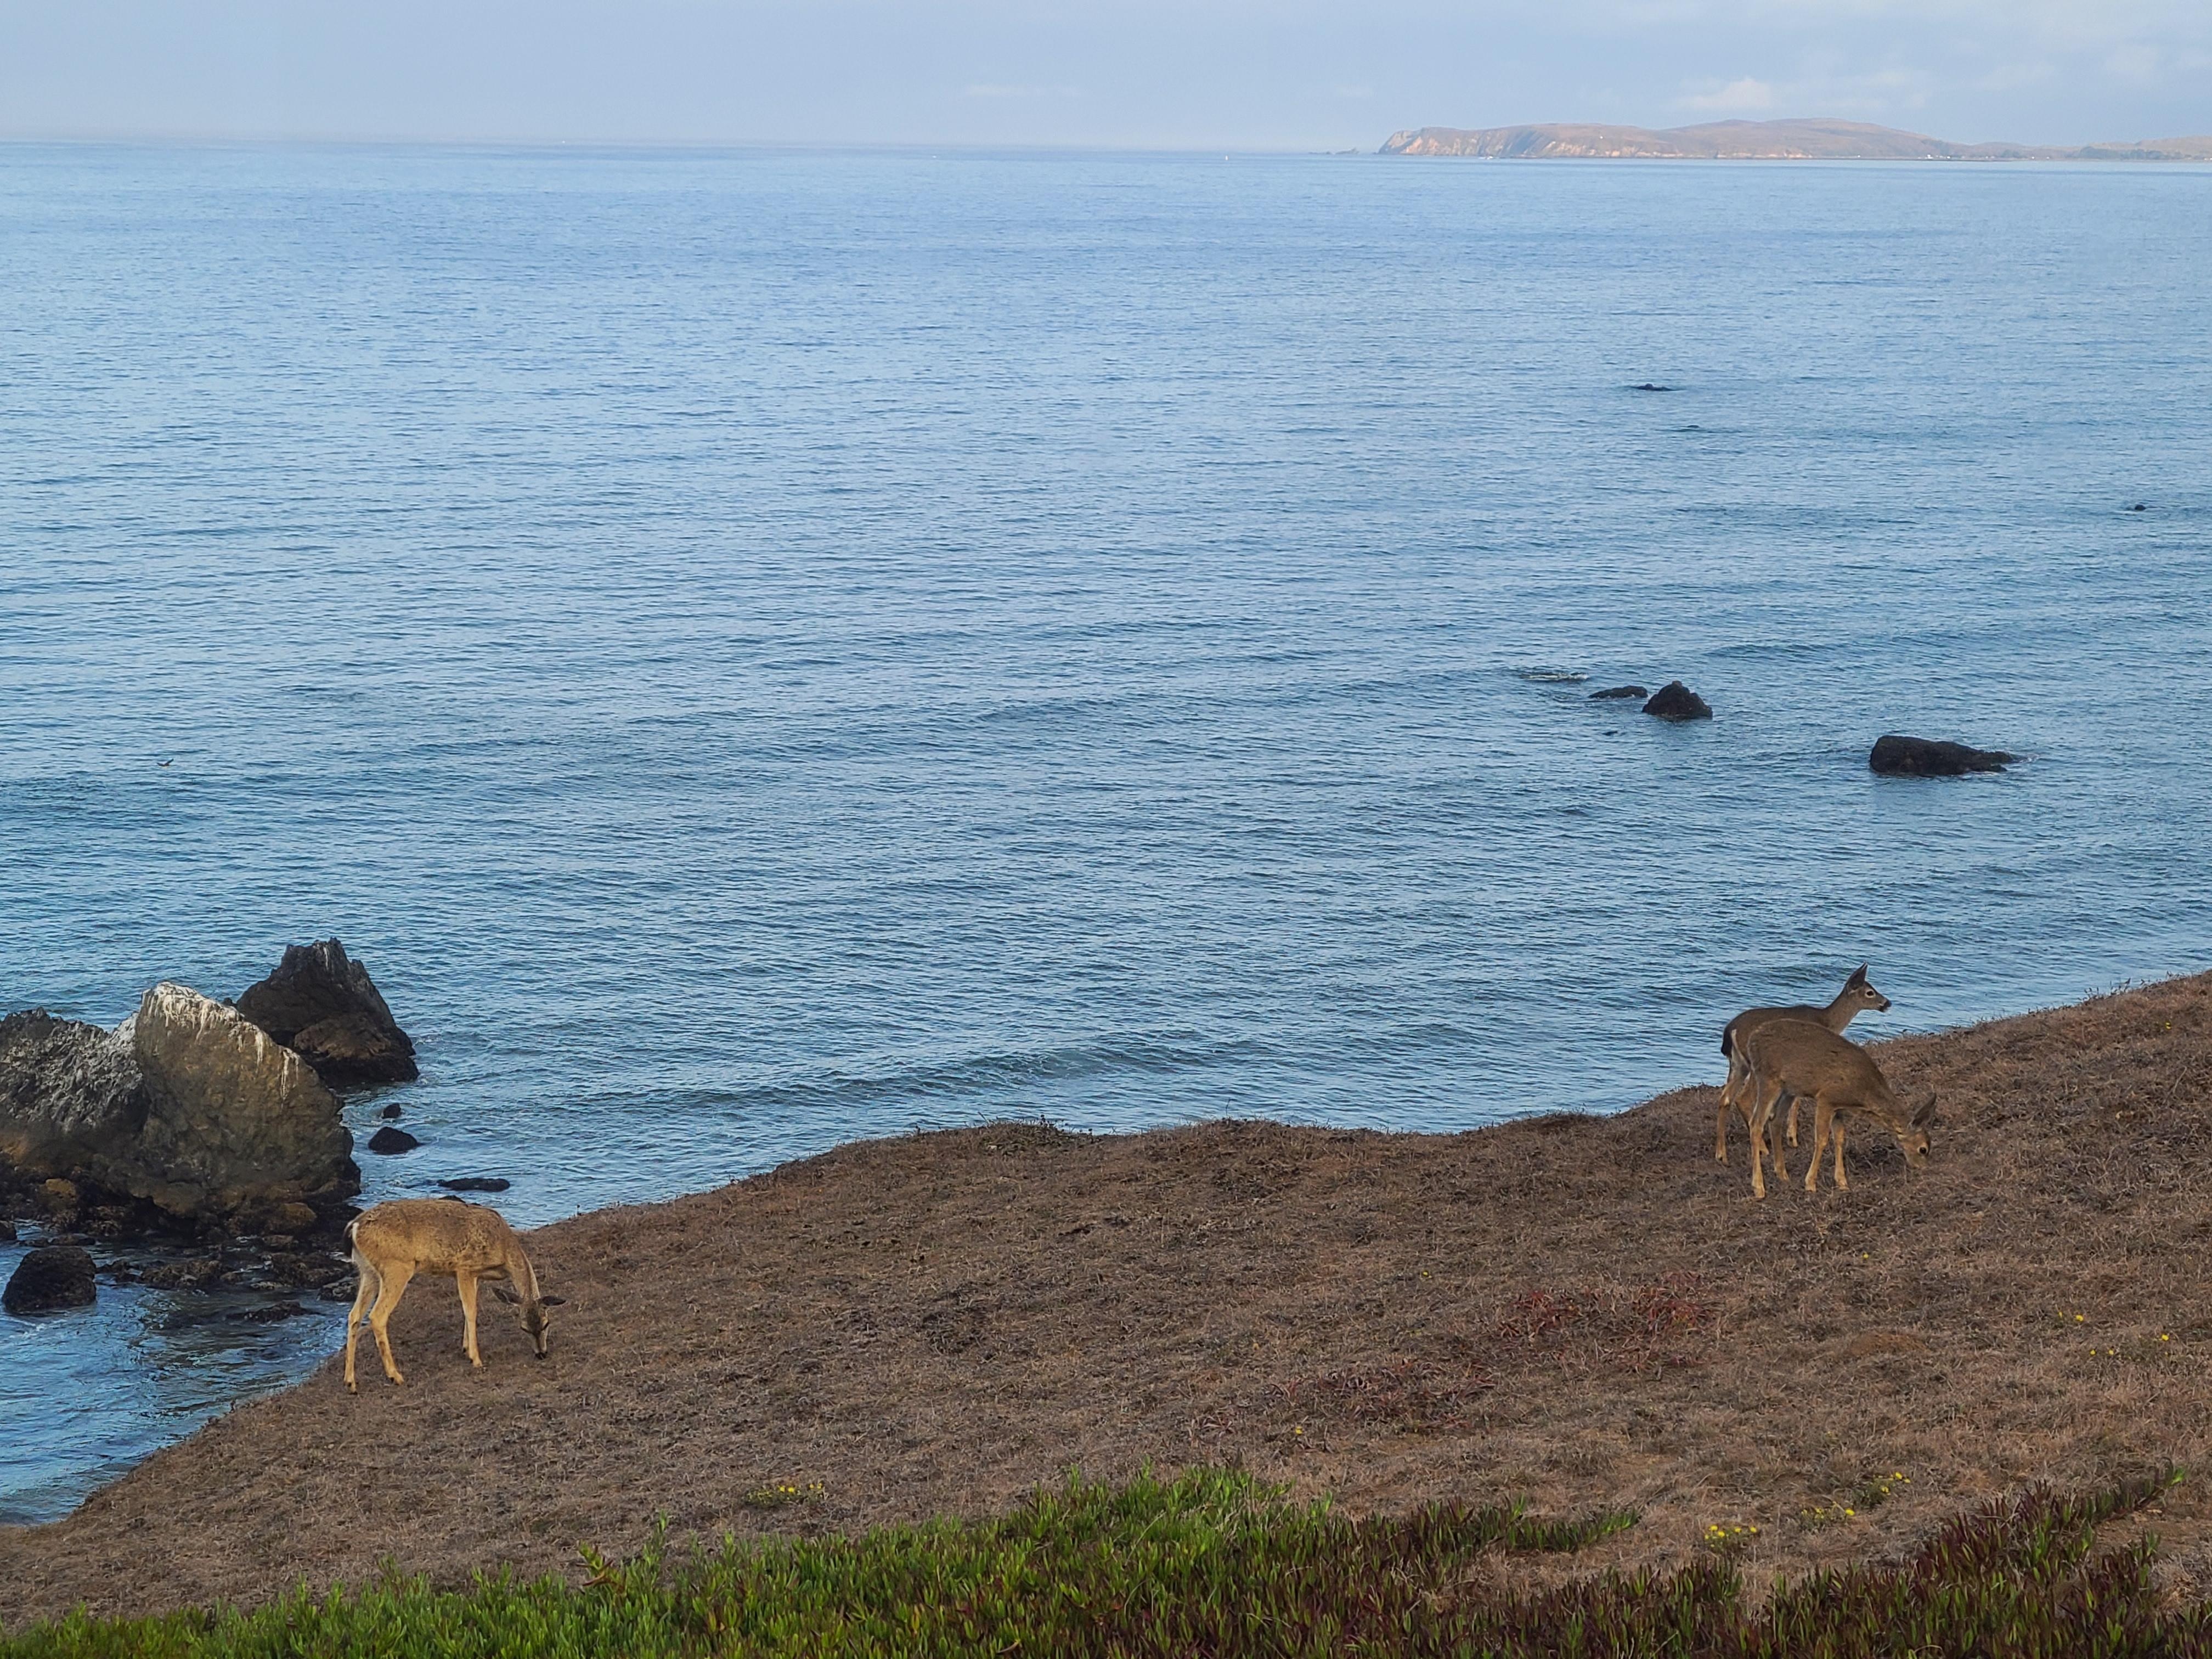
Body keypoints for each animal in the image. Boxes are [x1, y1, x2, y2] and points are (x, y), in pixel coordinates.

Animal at [343, 1198, 564, 1391]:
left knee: (354, 1315)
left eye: (546, 1324)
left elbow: (470, 1308)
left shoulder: (476, 1275)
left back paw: (351, 1383)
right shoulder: (465, 1267)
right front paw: (476, 1359)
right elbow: (471, 1311)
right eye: (523, 1328)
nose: (541, 1354)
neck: (504, 1248)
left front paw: (466, 1348)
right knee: (377, 1316)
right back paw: (395, 1376)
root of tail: (355, 1227)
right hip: (396, 1267)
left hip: (368, 1272)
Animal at [1716, 964, 1891, 1167]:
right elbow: (1798, 1099)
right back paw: (1763, 1149)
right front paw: (1792, 1138)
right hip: (1755, 1065)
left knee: (1726, 1097)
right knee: (1743, 1098)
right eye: (1870, 992)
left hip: (1738, 1064)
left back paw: (1722, 1155)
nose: (1887, 1003)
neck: (1827, 1021)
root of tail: (1731, 1030)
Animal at [1738, 1019, 1935, 1195]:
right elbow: (1822, 1140)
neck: (1863, 1093)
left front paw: (1842, 1183)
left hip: (1789, 1089)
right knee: (1757, 1124)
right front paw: (1810, 1184)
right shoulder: (1827, 1098)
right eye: (1923, 1149)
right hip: (1768, 1078)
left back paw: (1783, 1175)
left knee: (1775, 1121)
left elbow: (1840, 1139)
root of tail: (1752, 1039)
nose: (1924, 1169)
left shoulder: (1840, 1109)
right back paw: (1759, 1188)